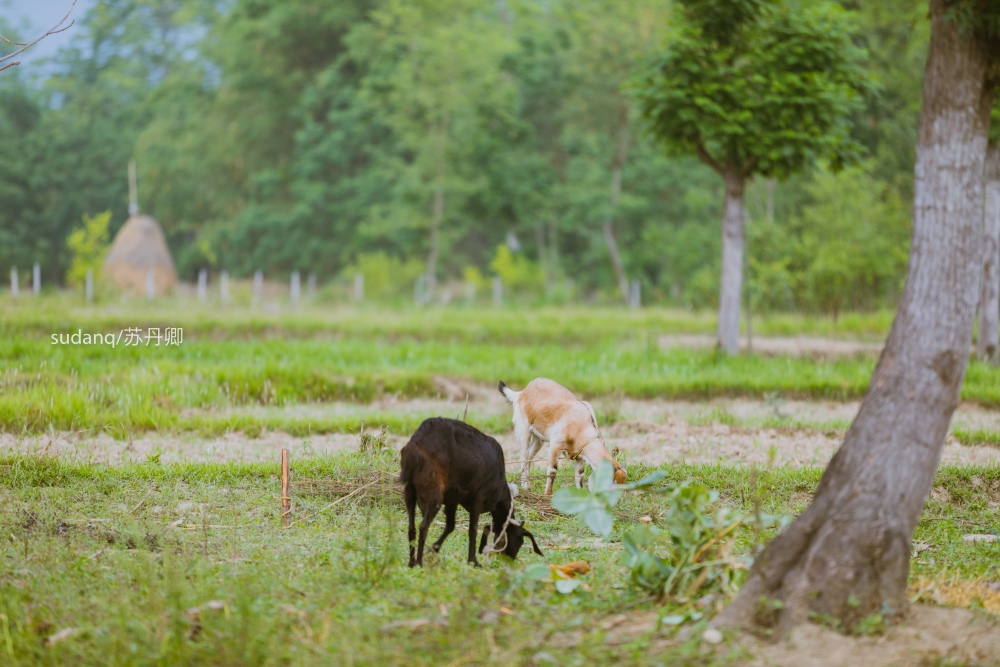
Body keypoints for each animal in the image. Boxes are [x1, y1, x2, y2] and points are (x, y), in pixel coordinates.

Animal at [398, 418, 544, 568]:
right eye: (519, 540)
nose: (510, 561)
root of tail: (415, 445)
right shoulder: (478, 498)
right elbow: (473, 529)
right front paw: (473, 560)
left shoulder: (453, 499)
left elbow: (450, 526)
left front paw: (433, 549)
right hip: (433, 491)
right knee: (423, 527)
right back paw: (419, 563)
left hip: (410, 490)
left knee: (412, 527)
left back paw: (411, 562)